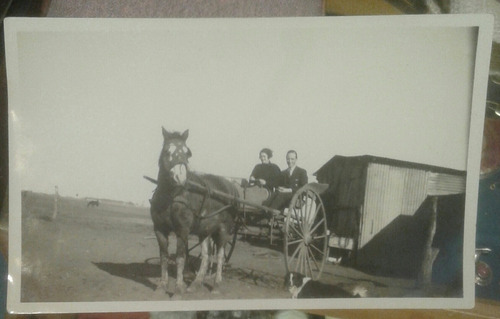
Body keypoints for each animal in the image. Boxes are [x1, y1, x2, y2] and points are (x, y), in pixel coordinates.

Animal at [149, 128, 239, 298]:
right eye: (167, 151)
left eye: (187, 152)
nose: (181, 177)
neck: (171, 197)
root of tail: (231, 186)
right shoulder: (159, 229)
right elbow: (164, 256)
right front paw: (162, 286)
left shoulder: (182, 230)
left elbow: (180, 257)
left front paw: (178, 289)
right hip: (205, 230)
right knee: (206, 256)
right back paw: (196, 284)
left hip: (224, 229)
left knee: (220, 255)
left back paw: (216, 285)